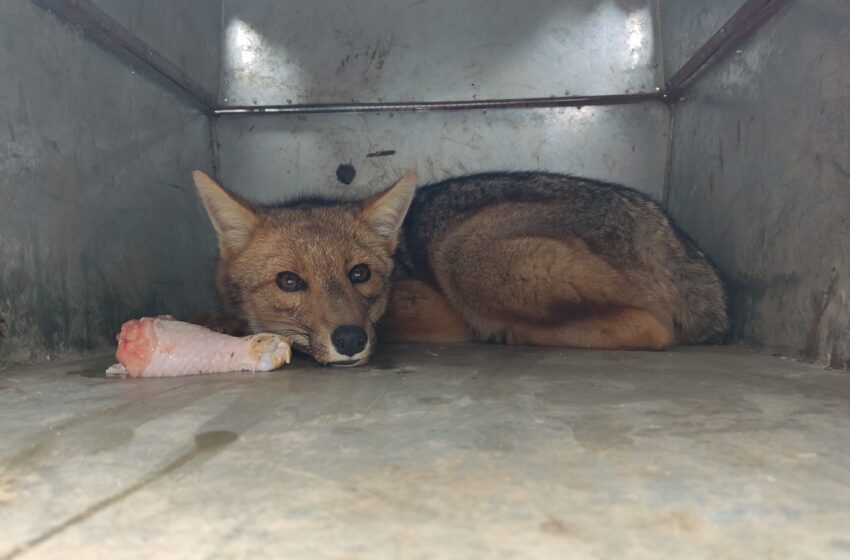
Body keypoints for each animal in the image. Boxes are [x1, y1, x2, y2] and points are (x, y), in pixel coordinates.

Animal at [192, 168, 728, 366]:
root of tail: (667, 229)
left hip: (459, 250)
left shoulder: (437, 315)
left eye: (360, 274)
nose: (350, 339)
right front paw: (220, 320)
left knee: (654, 328)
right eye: (289, 281)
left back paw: (518, 334)